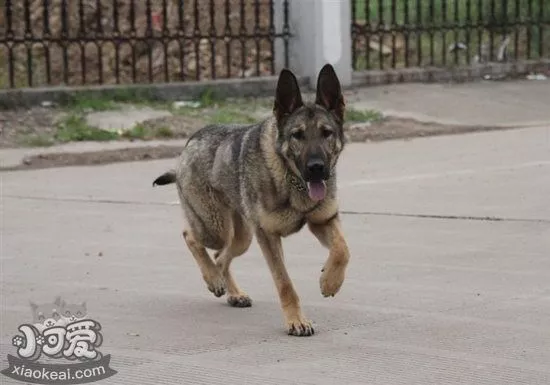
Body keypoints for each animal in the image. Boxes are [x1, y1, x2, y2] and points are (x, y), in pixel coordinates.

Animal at [154, 64, 354, 334]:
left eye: (327, 133)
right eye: (297, 135)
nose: (316, 169)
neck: (290, 179)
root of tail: (189, 143)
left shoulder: (323, 221)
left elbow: (343, 249)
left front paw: (330, 281)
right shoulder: (268, 237)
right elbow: (284, 282)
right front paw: (296, 320)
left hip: (242, 237)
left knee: (221, 257)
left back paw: (232, 292)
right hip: (215, 228)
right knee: (192, 237)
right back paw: (213, 278)